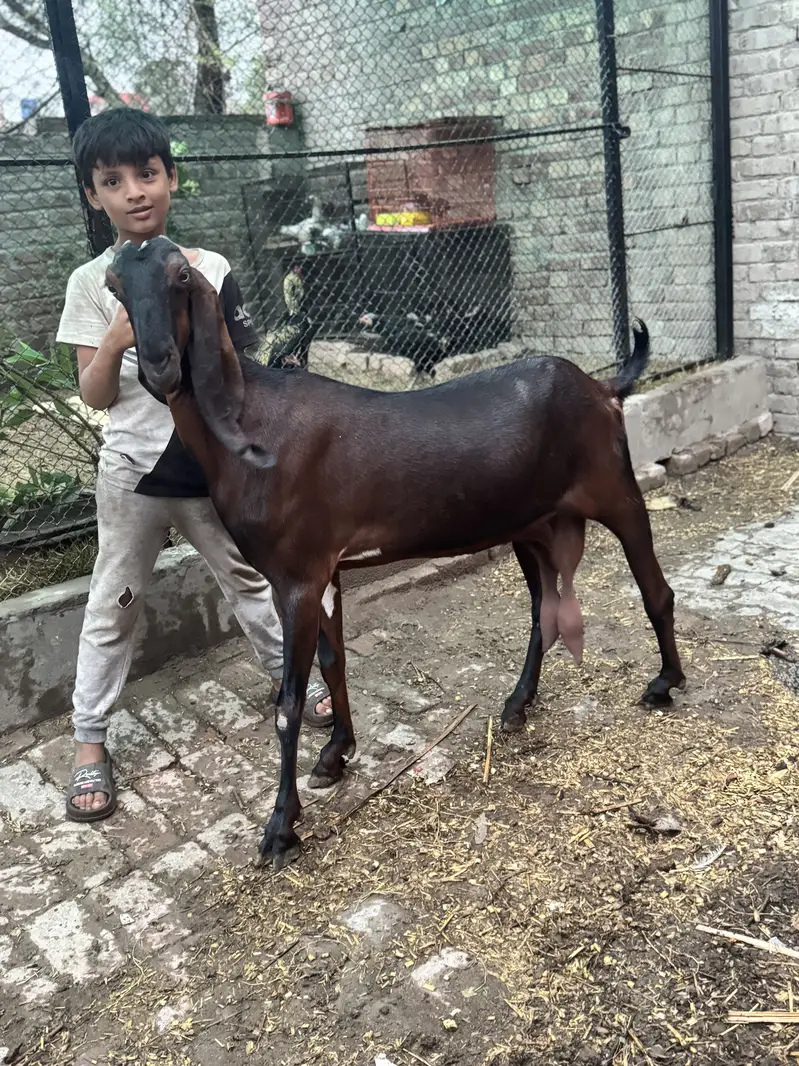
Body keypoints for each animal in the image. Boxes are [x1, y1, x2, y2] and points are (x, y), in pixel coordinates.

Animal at [107, 236, 685, 871]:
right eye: (114, 284)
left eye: (182, 276)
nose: (160, 366)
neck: (253, 419)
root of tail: (602, 388)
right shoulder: (325, 570)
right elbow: (333, 662)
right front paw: (336, 755)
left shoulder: (296, 576)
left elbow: (289, 702)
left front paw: (280, 829)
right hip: (531, 525)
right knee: (544, 611)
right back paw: (517, 704)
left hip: (614, 488)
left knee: (655, 588)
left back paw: (665, 683)